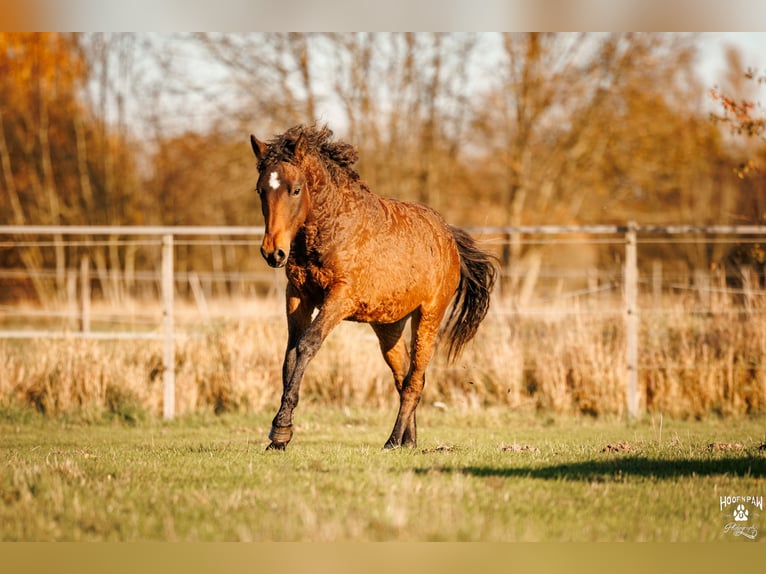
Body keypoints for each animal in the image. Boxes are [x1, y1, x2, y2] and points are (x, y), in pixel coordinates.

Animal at [249, 124, 497, 450]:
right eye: (261, 190)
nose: (272, 252)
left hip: (429, 317)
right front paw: (279, 437)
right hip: (388, 325)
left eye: (296, 189)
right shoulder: (298, 297)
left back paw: (393, 441)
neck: (334, 227)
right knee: (403, 375)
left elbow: (307, 345)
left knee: (415, 380)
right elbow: (289, 356)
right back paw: (408, 441)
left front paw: (280, 430)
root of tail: (448, 237)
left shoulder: (340, 298)